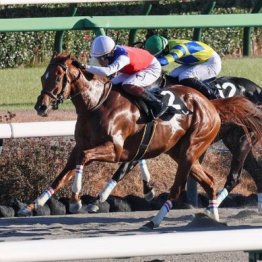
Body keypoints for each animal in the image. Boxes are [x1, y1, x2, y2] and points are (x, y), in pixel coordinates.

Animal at [19, 52, 262, 228]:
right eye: (42, 76)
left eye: (57, 77)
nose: (41, 106)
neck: (97, 104)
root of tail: (211, 104)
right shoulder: (83, 146)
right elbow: (62, 174)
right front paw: (33, 205)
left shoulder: (116, 149)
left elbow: (90, 160)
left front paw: (79, 200)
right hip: (183, 152)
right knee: (213, 181)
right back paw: (212, 217)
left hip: (206, 146)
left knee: (196, 184)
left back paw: (156, 220)